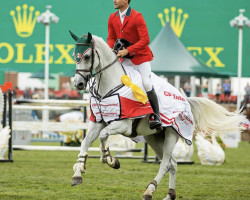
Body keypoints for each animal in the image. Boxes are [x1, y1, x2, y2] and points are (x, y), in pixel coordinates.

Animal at [69, 30, 245, 199]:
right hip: (154, 138)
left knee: (166, 164)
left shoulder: (123, 125)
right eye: (74, 55)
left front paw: (110, 160)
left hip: (171, 136)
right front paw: (78, 172)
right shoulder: (97, 122)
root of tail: (186, 101)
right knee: (173, 163)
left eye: (86, 56)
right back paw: (169, 195)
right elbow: (85, 142)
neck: (112, 85)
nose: (78, 83)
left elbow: (103, 136)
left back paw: (149, 190)